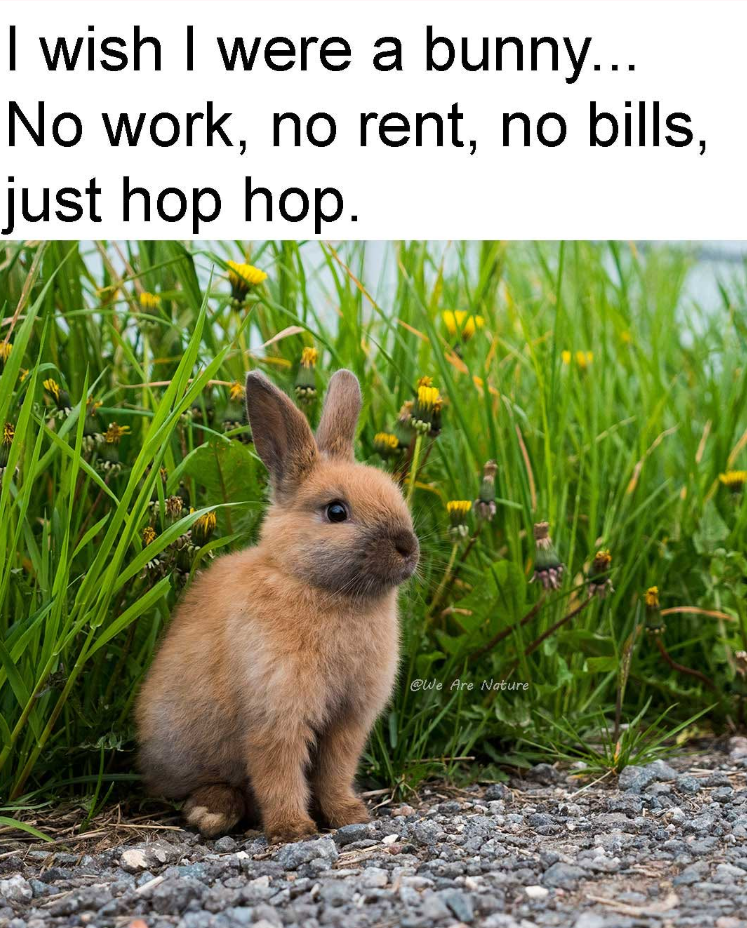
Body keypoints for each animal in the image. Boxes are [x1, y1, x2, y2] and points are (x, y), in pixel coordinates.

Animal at [136, 369, 419, 843]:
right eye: (336, 511)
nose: (408, 548)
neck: (317, 586)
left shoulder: (348, 721)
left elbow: (334, 772)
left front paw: (350, 816)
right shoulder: (275, 713)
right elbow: (279, 773)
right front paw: (293, 829)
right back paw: (211, 812)